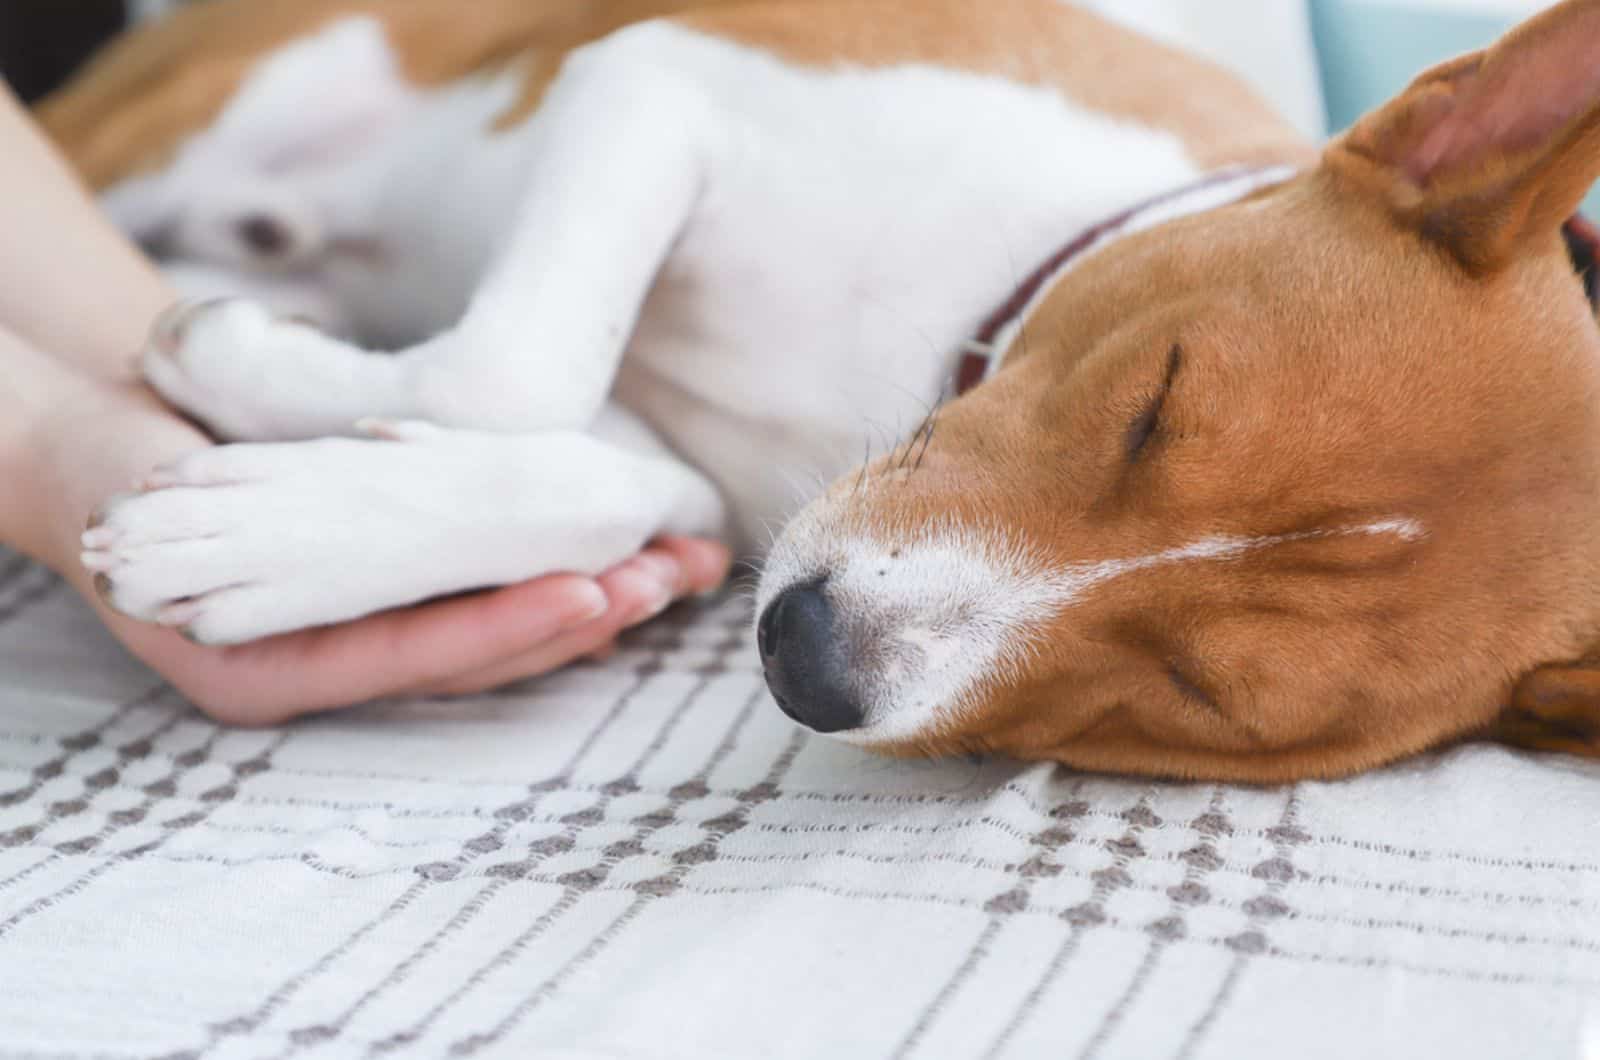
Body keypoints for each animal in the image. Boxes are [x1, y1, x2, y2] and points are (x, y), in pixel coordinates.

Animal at [37, 0, 1600, 781]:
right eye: (1153, 403)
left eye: (1204, 697)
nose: (806, 658)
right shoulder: (661, 78)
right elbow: (514, 363)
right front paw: (232, 374)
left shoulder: (691, 462)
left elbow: (615, 466)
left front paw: (281, 532)